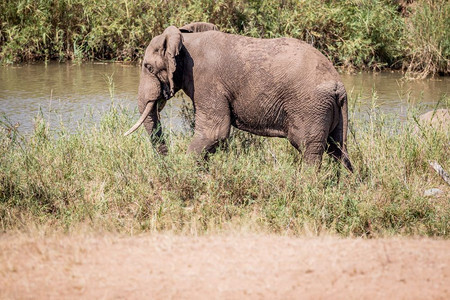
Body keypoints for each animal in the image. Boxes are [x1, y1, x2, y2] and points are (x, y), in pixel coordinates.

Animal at [125, 22, 354, 172]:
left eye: (148, 67)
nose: (166, 162)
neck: (185, 40)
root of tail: (338, 84)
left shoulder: (208, 81)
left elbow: (214, 132)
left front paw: (185, 173)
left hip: (311, 106)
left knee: (309, 148)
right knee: (337, 149)